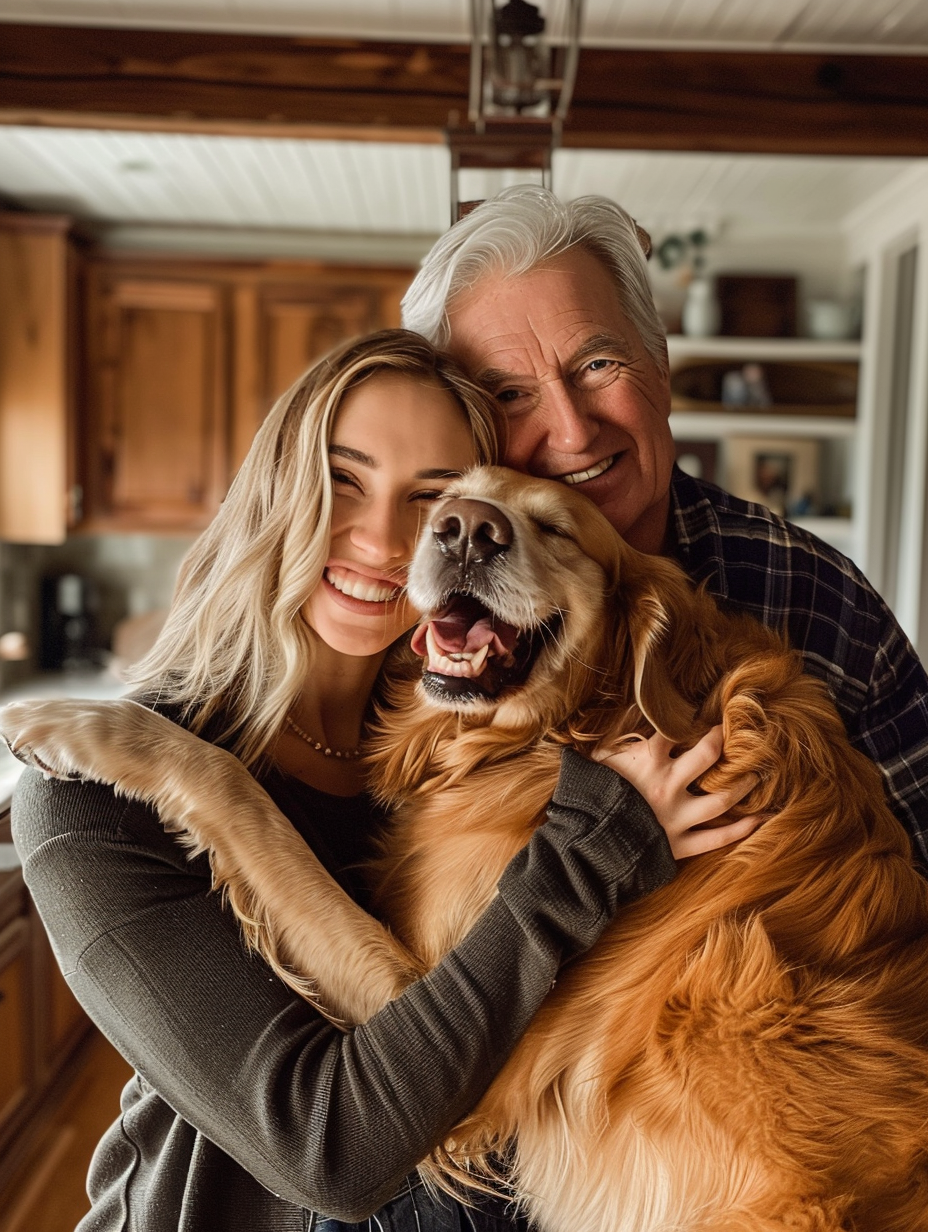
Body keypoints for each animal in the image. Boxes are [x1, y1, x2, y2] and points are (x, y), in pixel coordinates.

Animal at [1, 463, 926, 1232]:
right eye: (446, 496)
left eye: (556, 527)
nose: (466, 531)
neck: (571, 730)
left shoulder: (441, 1043)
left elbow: (237, 790)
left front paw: (79, 723)